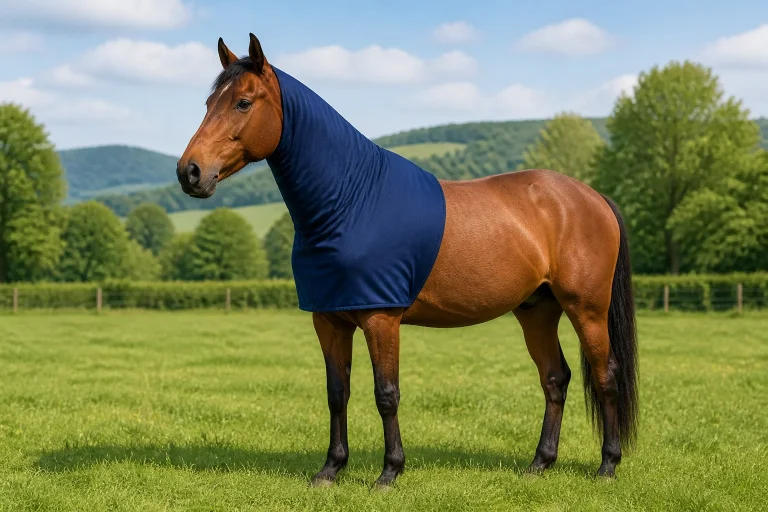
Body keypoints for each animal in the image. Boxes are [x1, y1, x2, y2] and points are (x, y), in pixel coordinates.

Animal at [176, 34, 638, 489]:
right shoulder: (328, 320)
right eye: (208, 102)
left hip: (587, 310)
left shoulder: (381, 319)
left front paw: (389, 472)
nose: (190, 172)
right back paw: (540, 463)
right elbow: (336, 393)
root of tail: (592, 197)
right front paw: (330, 469)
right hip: (537, 311)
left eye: (243, 103)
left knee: (606, 376)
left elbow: (386, 393)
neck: (351, 201)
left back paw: (607, 466)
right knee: (555, 379)